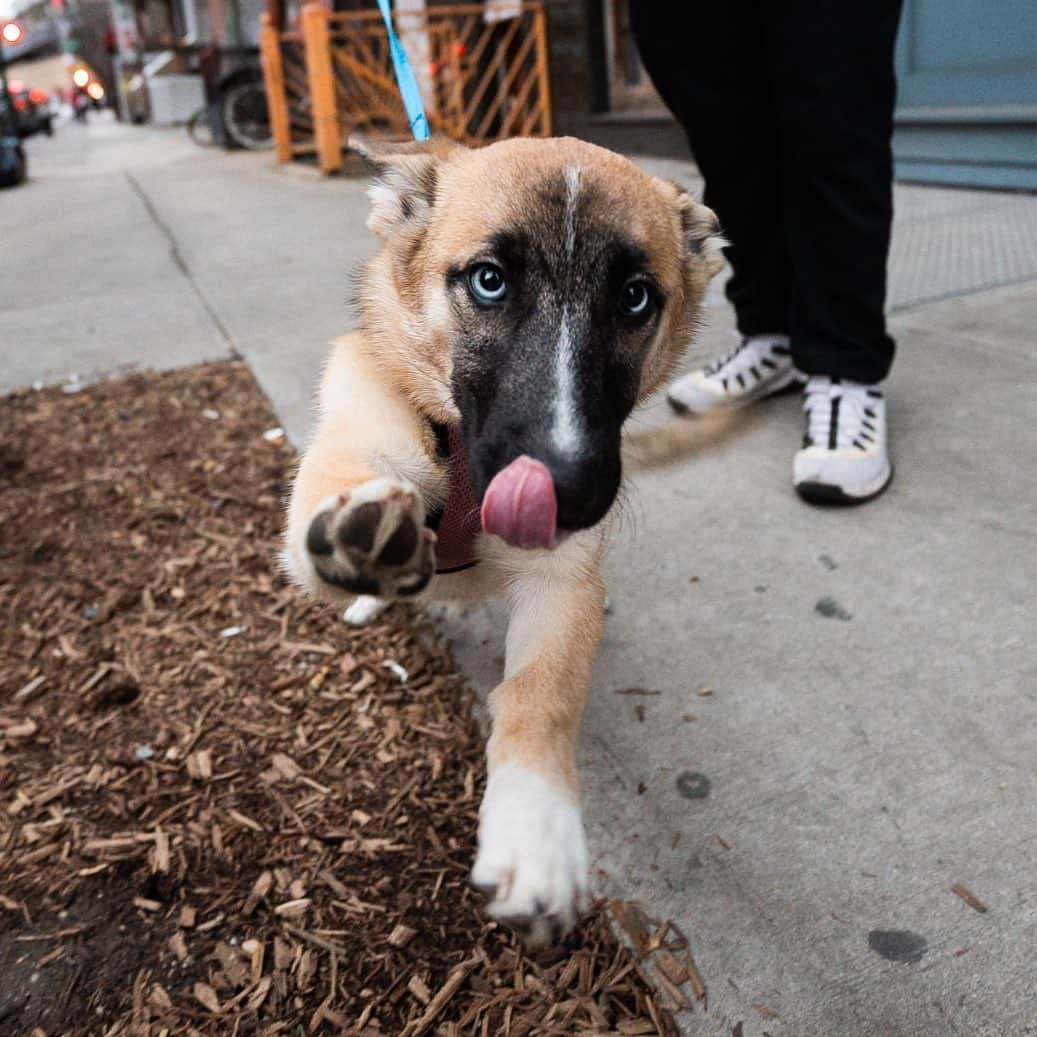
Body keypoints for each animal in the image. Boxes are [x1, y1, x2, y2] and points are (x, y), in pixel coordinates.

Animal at [284, 133, 721, 945]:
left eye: (635, 297)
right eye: (489, 281)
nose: (566, 489)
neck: (456, 449)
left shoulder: (560, 584)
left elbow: (540, 694)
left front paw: (535, 827)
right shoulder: (356, 442)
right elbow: (332, 502)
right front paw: (364, 536)